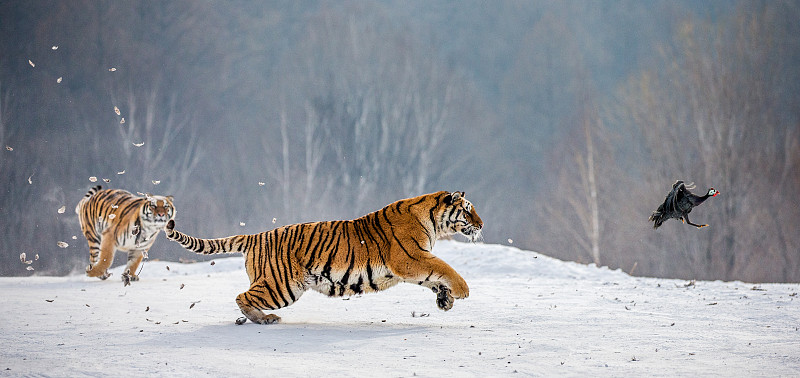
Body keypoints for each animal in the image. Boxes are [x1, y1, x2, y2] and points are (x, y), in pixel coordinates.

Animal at [162, 192, 482, 324]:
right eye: (468, 210)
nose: (481, 224)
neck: (434, 221)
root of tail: (257, 235)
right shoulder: (411, 257)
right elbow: (443, 267)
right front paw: (463, 290)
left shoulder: (413, 263)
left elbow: (434, 278)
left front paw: (445, 300)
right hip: (282, 287)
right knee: (242, 296)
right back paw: (263, 320)